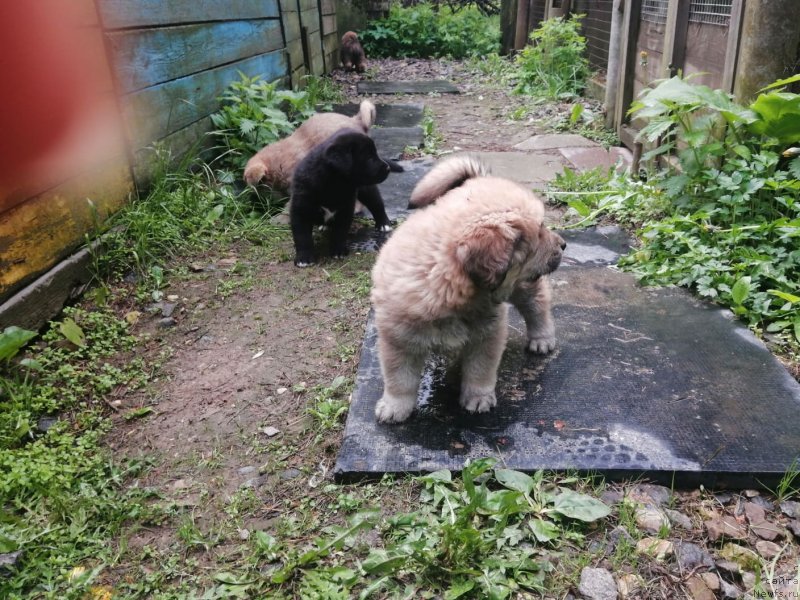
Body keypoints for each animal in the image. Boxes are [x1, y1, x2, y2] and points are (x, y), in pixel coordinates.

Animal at [290, 130, 392, 267]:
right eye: (369, 158)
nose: (388, 168)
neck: (333, 184)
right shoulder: (300, 210)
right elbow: (302, 236)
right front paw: (304, 258)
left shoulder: (346, 209)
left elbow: (340, 232)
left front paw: (338, 251)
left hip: (367, 189)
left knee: (377, 204)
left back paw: (384, 224)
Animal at [371, 155, 566, 423]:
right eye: (540, 230)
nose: (563, 245)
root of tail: (478, 178)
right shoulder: (397, 340)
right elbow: (399, 379)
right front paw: (395, 407)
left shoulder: (487, 335)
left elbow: (480, 370)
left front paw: (477, 398)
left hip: (525, 285)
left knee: (537, 304)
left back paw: (542, 338)